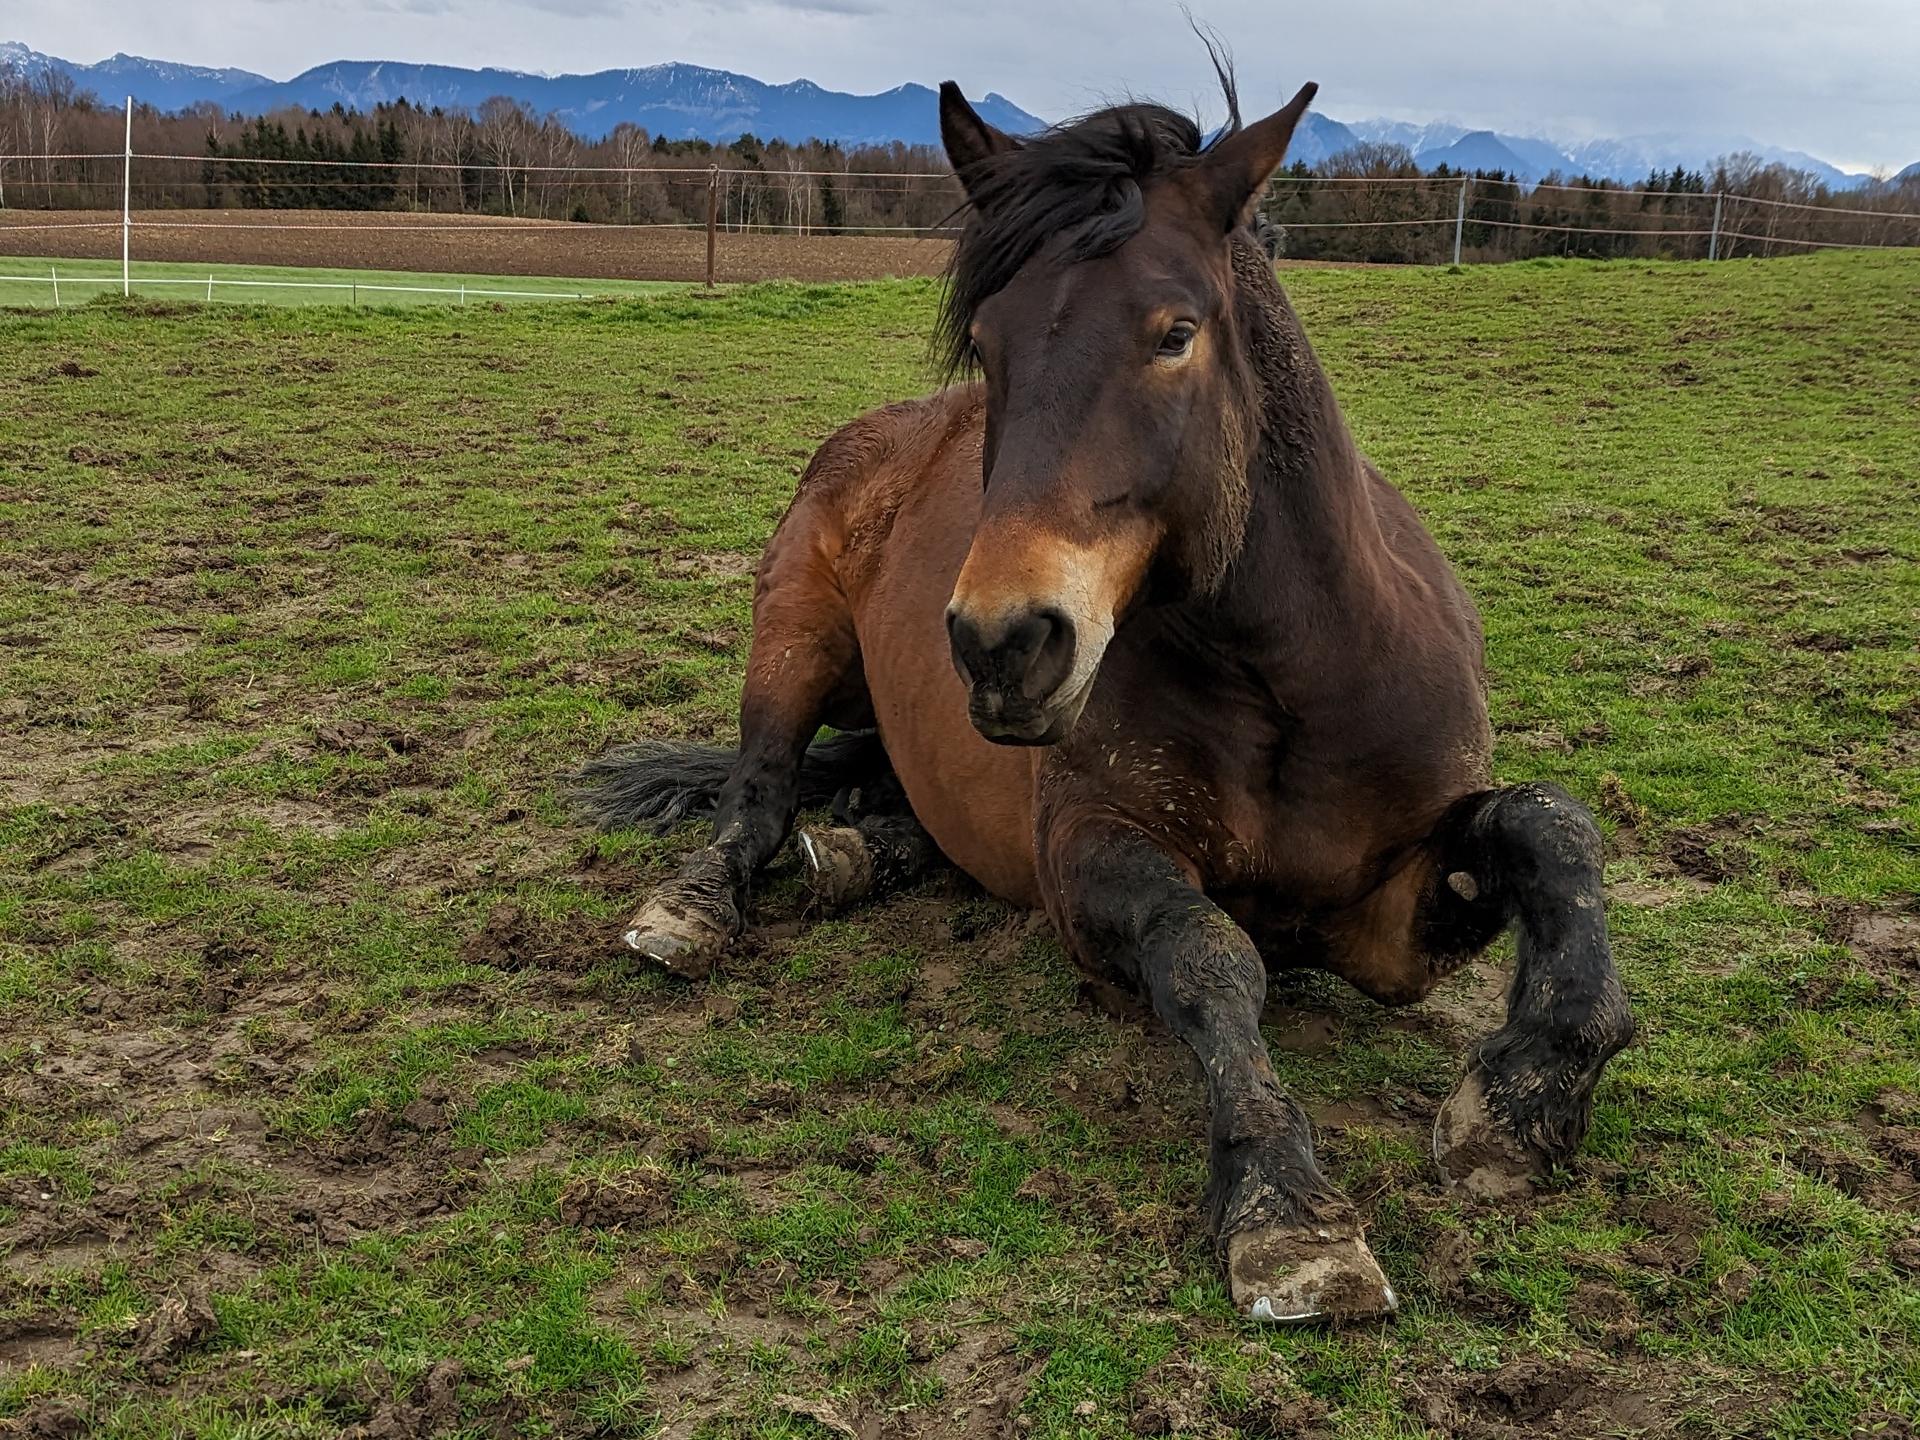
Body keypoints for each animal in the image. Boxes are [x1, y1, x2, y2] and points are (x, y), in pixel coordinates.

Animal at [575, 72, 1634, 1324]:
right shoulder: (1091, 859)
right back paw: (698, 906)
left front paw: (1527, 1104)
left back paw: (854, 856)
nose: (1002, 643)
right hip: (793, 635)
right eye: (987, 346)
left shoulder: (1395, 925)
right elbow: (1209, 952)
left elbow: (1548, 822)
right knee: (760, 795)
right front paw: (1286, 1211)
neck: (1288, 680)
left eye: (1176, 332)